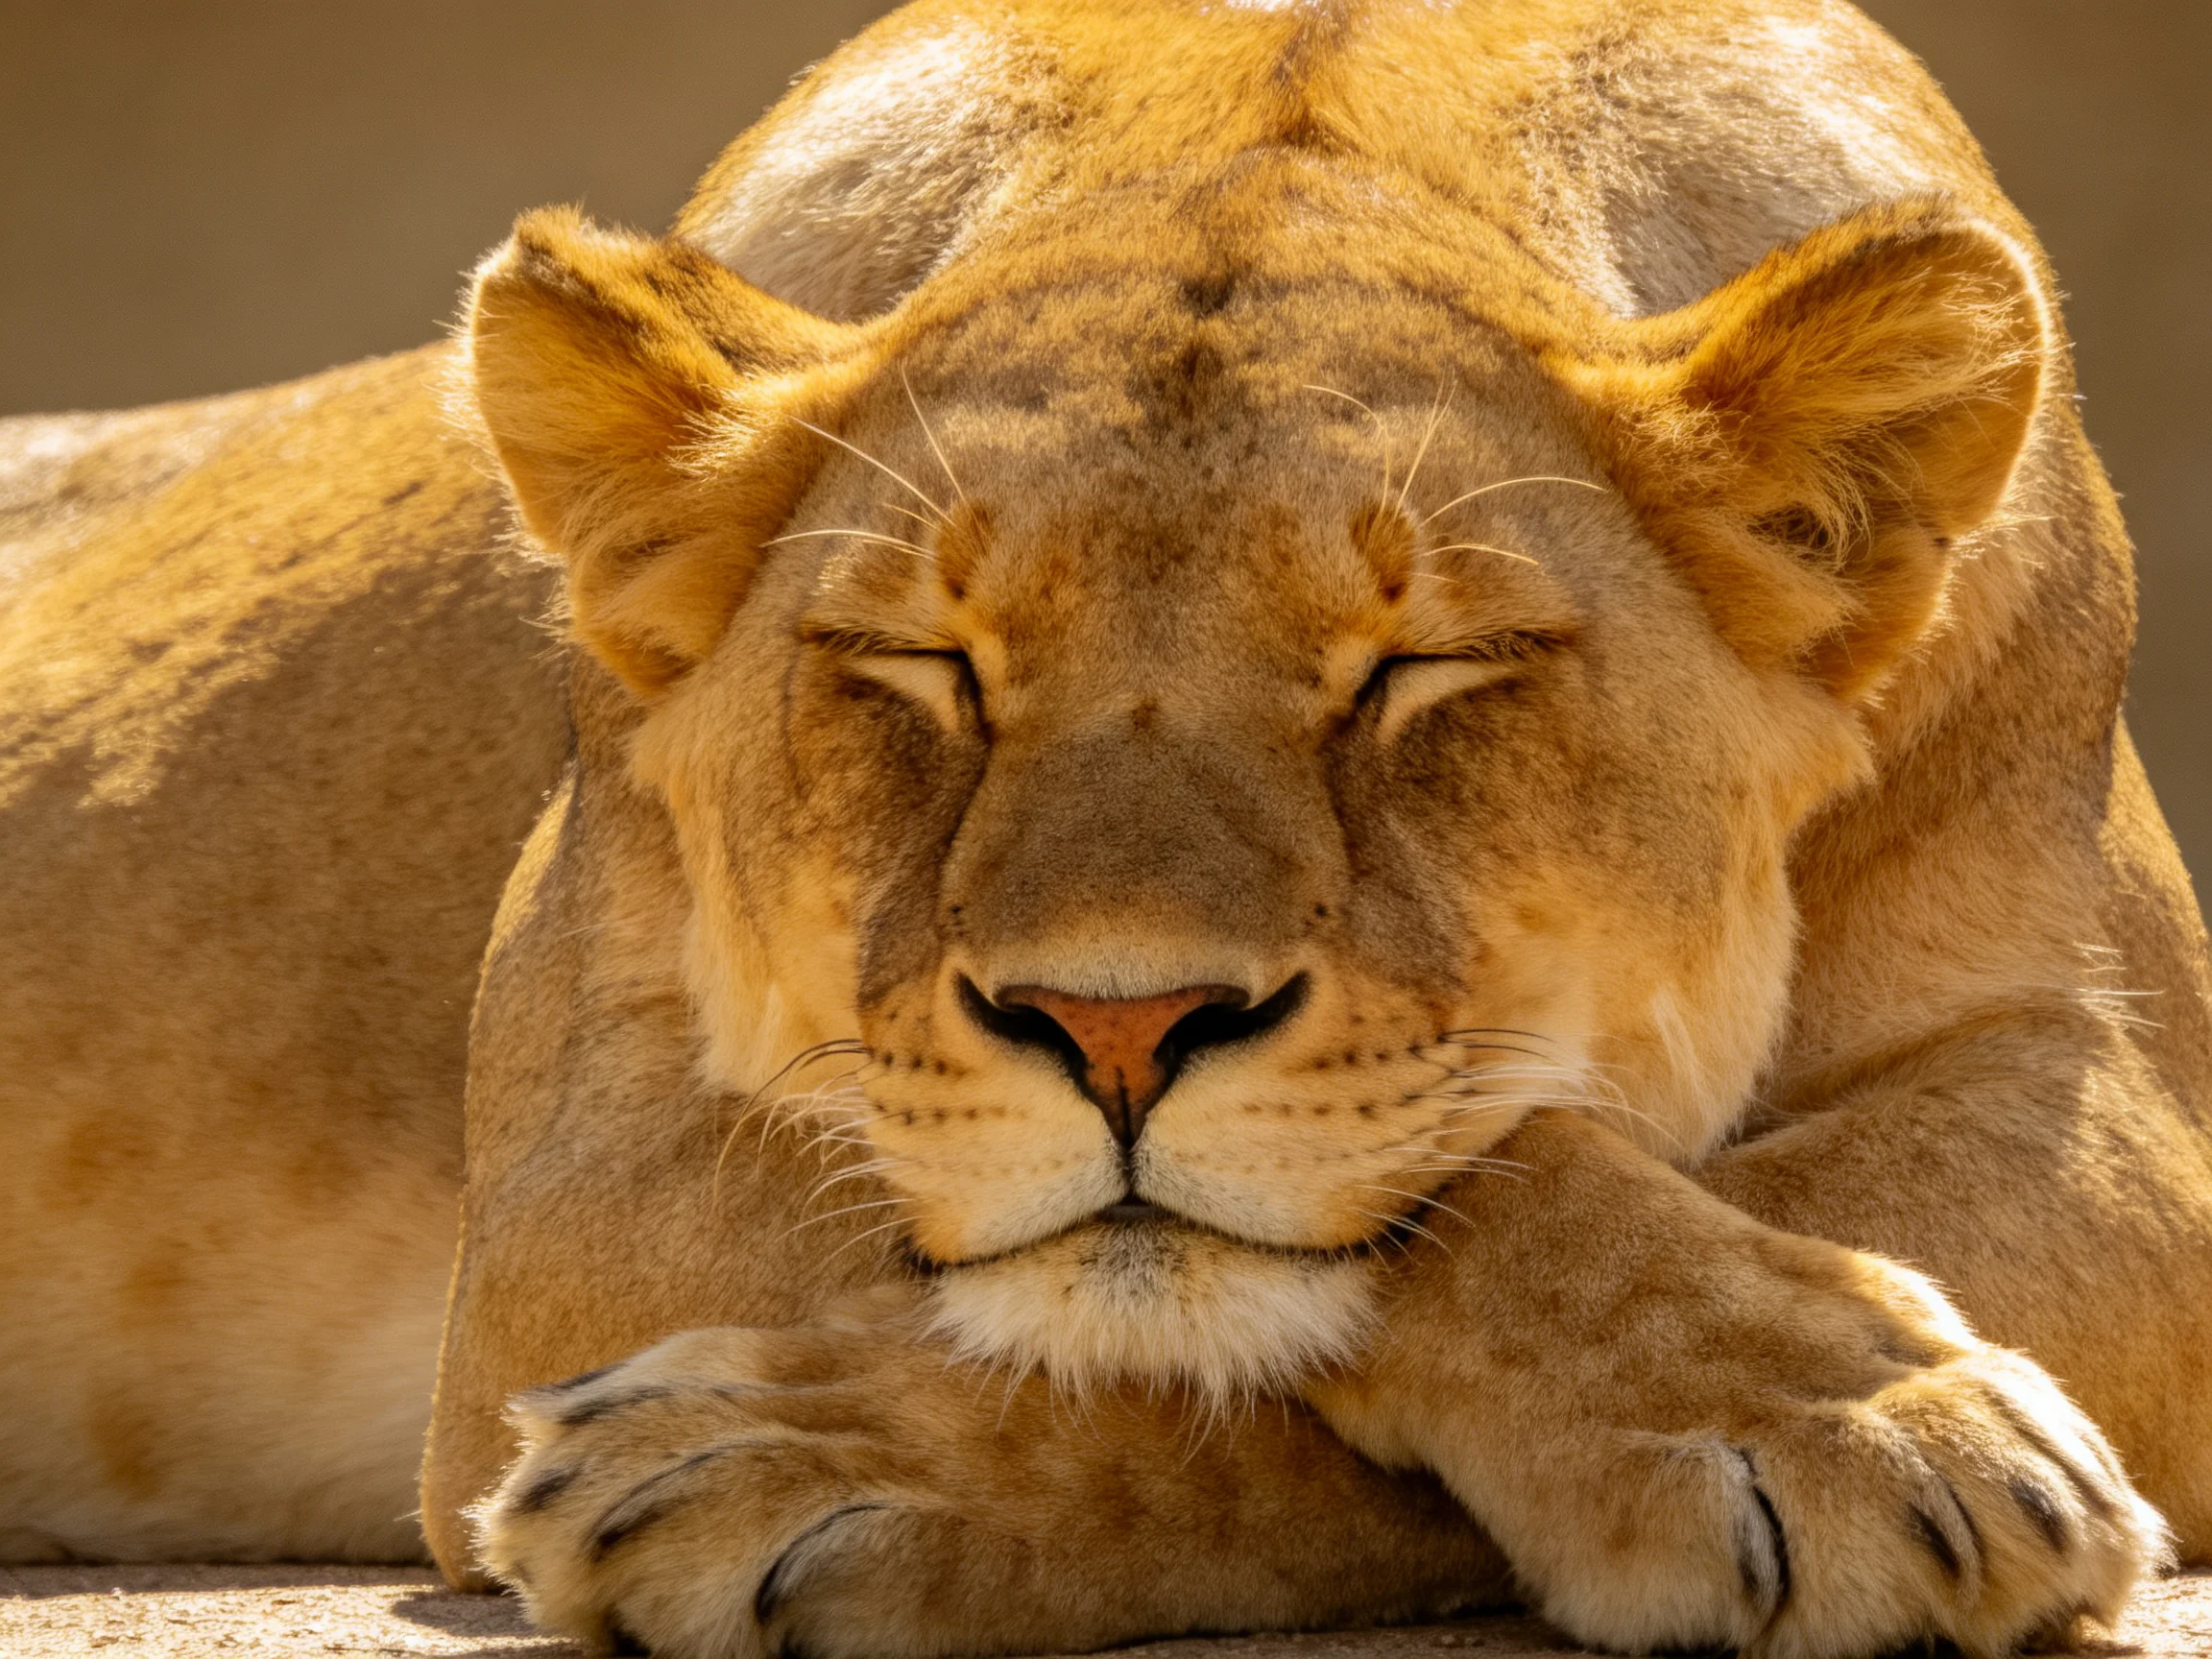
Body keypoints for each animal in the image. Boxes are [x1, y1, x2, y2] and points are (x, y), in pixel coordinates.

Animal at [2, 0, 2208, 1655]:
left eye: (1416, 671)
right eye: (928, 665)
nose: (1121, 1031)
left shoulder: (2102, 1110)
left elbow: (1443, 1199)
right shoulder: (568, 1179)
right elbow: (1400, 1215)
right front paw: (1858, 1419)